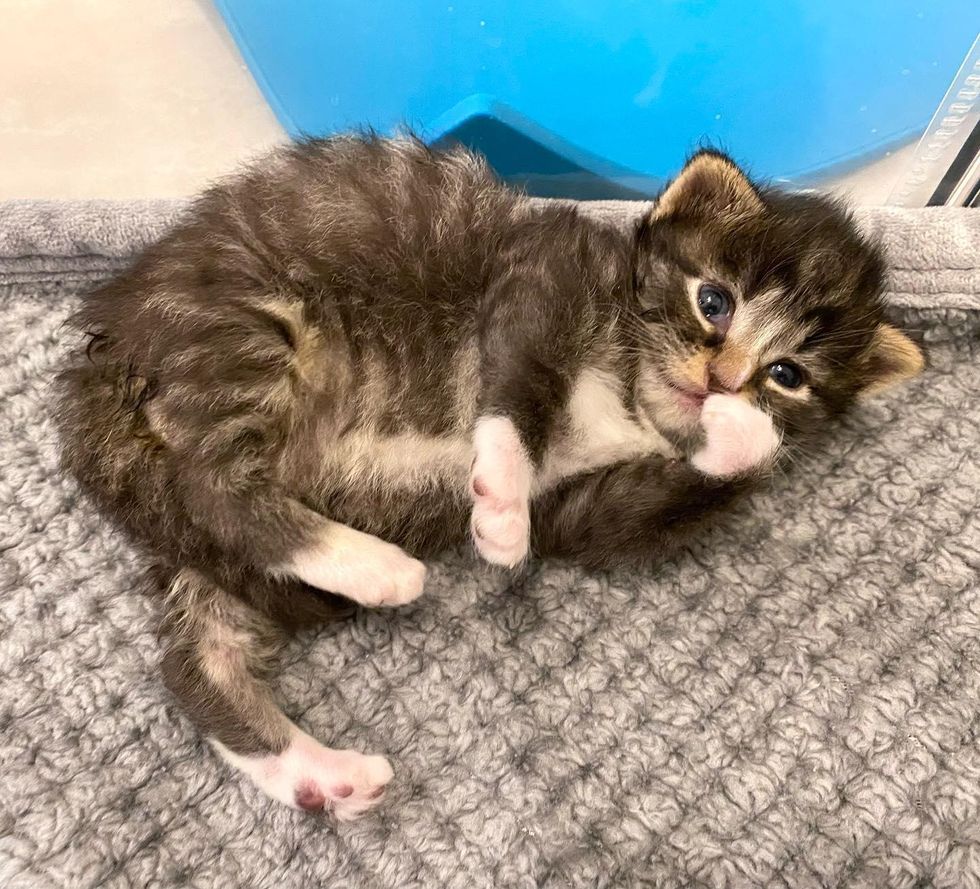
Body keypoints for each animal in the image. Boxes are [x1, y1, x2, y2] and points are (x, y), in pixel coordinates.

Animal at [57, 135, 924, 816]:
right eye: (714, 300)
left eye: (787, 374)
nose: (724, 379)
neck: (633, 389)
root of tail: (105, 345)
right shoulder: (539, 270)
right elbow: (517, 385)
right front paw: (502, 506)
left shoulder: (584, 504)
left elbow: (644, 501)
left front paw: (745, 432)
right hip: (240, 325)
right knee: (212, 484)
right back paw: (380, 568)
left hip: (206, 541)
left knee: (194, 659)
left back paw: (322, 772)